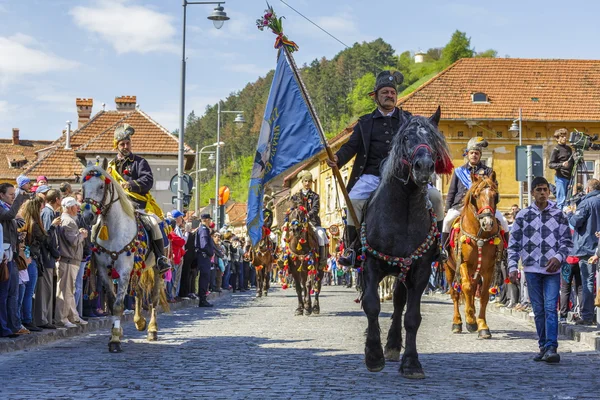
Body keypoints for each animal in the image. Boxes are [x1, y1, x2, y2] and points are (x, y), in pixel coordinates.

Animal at [81, 162, 168, 354]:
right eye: (83, 187)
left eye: (101, 186)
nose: (87, 216)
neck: (113, 230)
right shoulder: (104, 271)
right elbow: (112, 301)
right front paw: (117, 332)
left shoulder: (124, 270)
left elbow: (118, 305)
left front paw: (115, 340)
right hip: (139, 268)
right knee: (138, 293)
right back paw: (139, 321)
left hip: (156, 269)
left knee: (154, 299)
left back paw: (152, 329)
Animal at [360, 108, 450, 378]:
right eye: (407, 137)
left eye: (432, 139)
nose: (424, 167)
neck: (405, 208)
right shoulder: (371, 265)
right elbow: (371, 305)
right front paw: (373, 355)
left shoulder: (419, 271)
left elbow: (412, 317)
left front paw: (411, 362)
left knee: (399, 302)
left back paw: (392, 345)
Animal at [442, 173, 504, 340]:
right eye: (476, 196)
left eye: (495, 196)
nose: (488, 223)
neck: (480, 236)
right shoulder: (463, 263)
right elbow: (467, 288)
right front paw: (470, 320)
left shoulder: (488, 268)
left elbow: (483, 295)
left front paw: (482, 325)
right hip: (449, 269)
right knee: (456, 293)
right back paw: (457, 322)